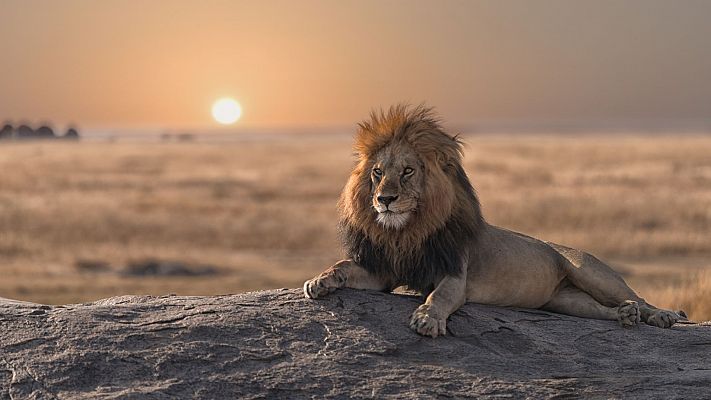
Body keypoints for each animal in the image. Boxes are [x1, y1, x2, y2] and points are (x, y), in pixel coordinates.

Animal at [304, 104, 680, 336]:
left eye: (408, 171)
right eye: (378, 173)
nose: (384, 199)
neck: (407, 231)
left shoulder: (454, 274)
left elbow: (439, 296)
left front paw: (427, 318)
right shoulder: (384, 271)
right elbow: (343, 265)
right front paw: (319, 281)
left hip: (590, 271)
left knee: (636, 297)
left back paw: (661, 315)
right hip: (565, 301)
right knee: (602, 310)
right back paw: (624, 316)